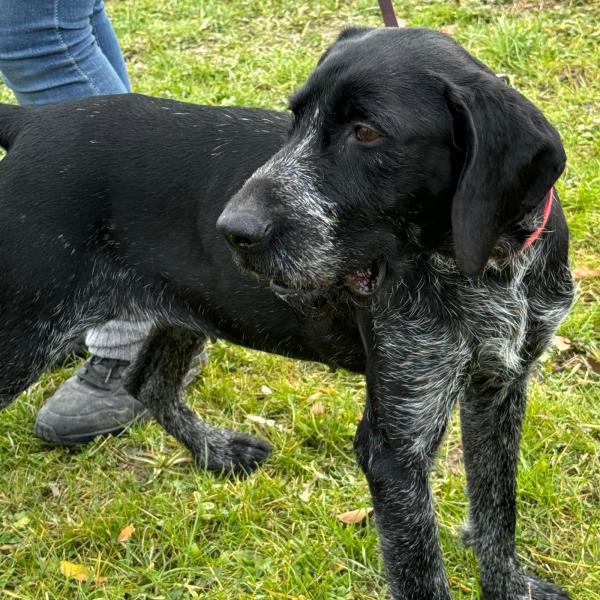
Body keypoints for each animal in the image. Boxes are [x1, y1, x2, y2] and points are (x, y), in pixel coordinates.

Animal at [0, 27, 572, 599]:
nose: (232, 230)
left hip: (189, 308)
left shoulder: (498, 388)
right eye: (295, 119)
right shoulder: (395, 446)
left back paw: (216, 452)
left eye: (367, 133)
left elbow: (497, 509)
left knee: (149, 382)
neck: (490, 269)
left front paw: (510, 587)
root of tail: (32, 122)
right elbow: (422, 572)